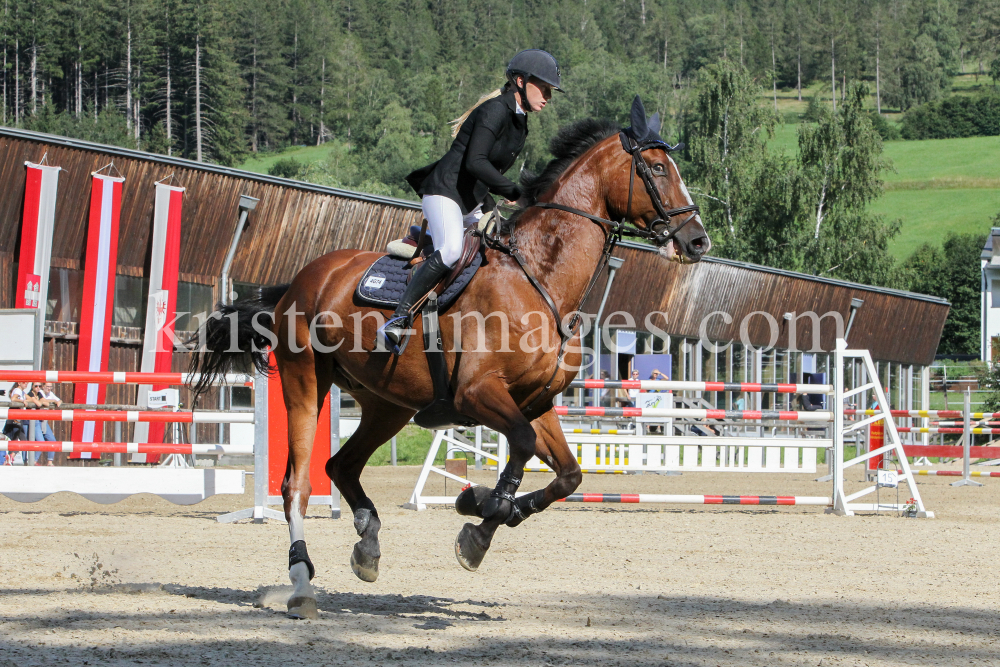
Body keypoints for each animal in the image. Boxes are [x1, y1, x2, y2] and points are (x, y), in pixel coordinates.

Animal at [191, 96, 712, 620]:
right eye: (656, 168)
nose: (697, 241)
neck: (540, 278)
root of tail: (299, 281)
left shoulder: (536, 403)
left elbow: (567, 475)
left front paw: (481, 517)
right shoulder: (477, 394)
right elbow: (521, 446)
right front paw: (482, 511)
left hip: (387, 403)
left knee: (341, 466)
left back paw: (367, 545)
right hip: (305, 384)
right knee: (296, 485)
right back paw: (301, 584)